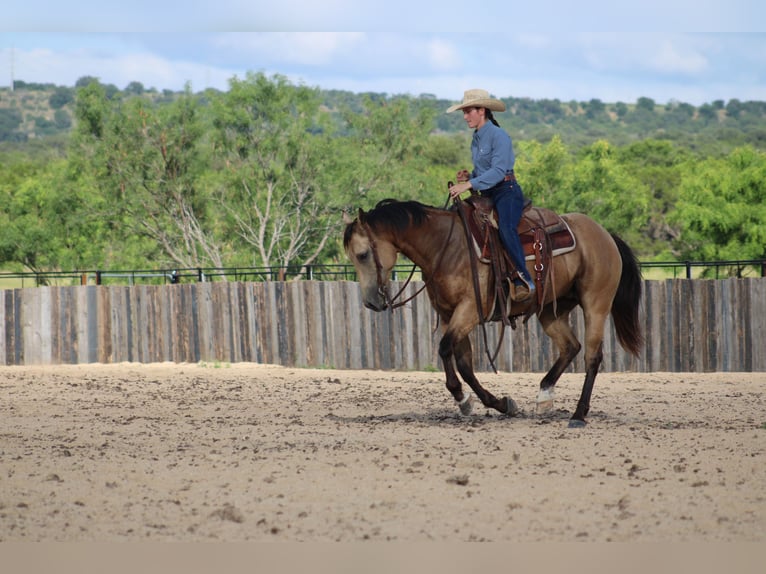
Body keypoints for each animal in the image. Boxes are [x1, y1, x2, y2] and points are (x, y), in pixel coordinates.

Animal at [343, 198, 643, 428]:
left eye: (363, 254)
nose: (371, 302)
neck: (445, 247)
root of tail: (606, 235)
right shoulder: (449, 315)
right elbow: (464, 363)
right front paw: (493, 403)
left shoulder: (469, 310)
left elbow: (445, 349)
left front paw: (464, 398)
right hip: (551, 310)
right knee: (571, 346)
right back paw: (544, 394)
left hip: (596, 304)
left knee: (593, 356)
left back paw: (579, 415)